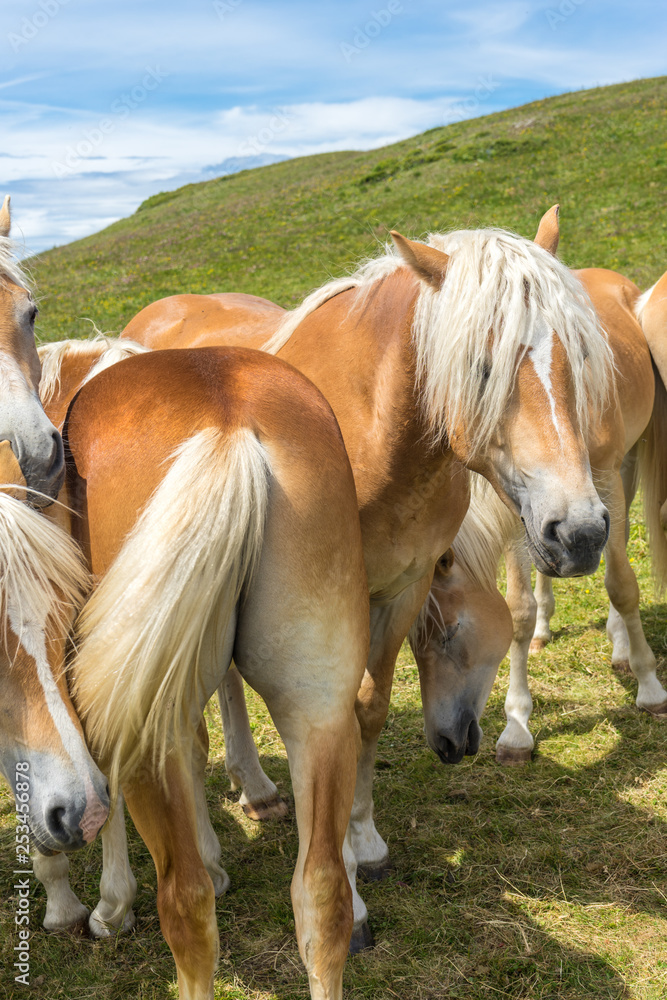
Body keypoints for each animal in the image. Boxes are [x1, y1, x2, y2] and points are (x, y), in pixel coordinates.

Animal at [32, 342, 370, 1000]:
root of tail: (229, 423)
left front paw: (108, 906)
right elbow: (197, 745)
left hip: (146, 727)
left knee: (185, 904)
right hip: (319, 712)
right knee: (322, 895)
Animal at [120, 208, 614, 889]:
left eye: (580, 355)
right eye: (481, 367)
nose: (582, 532)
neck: (371, 432)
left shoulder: (403, 588)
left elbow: (369, 710)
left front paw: (363, 838)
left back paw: (258, 790)